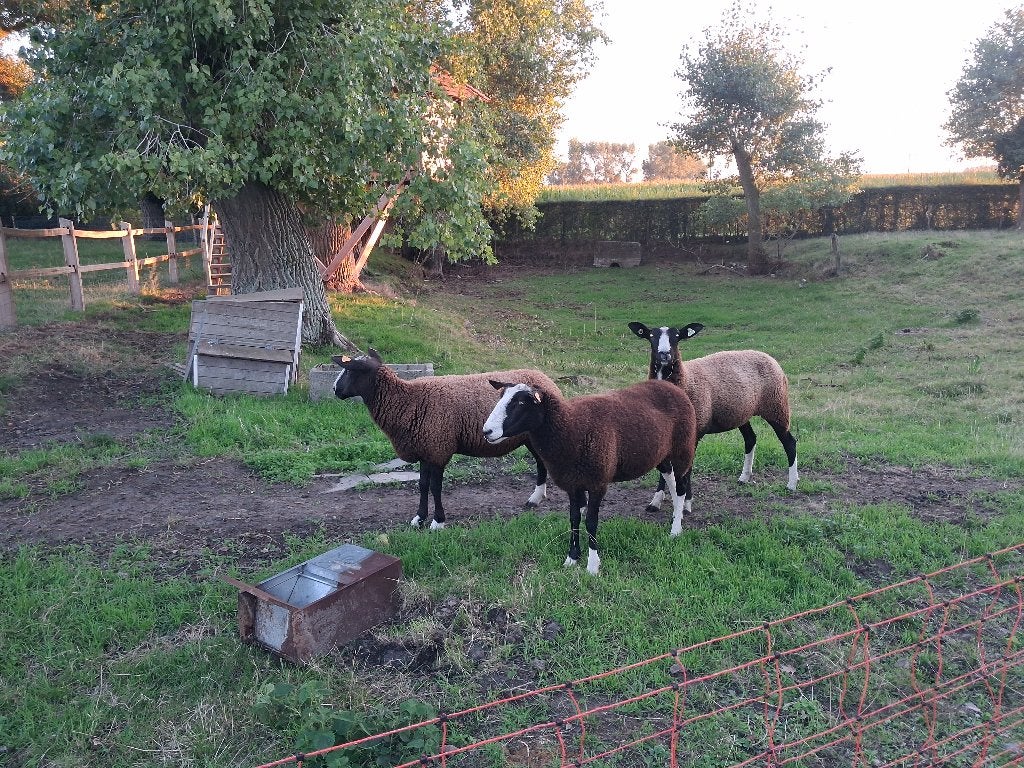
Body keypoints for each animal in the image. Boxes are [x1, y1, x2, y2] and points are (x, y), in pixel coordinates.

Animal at [330, 349, 559, 530]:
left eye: (350, 370)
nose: (334, 389)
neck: (406, 400)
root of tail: (544, 377)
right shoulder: (425, 448)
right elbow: (422, 485)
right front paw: (419, 518)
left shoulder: (438, 449)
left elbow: (435, 487)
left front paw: (437, 522)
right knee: (541, 463)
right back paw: (536, 498)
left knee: (542, 463)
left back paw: (535, 498)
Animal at [483, 377, 697, 575]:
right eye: (500, 397)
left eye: (521, 403)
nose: (486, 431)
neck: (570, 428)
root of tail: (671, 386)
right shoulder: (572, 483)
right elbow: (574, 518)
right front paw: (572, 557)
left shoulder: (597, 483)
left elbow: (591, 522)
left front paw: (592, 565)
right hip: (661, 453)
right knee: (670, 479)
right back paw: (671, 514)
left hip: (682, 449)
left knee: (680, 488)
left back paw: (676, 529)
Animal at [627, 322, 798, 515]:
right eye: (651, 336)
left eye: (677, 336)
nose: (665, 354)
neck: (685, 379)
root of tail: (767, 355)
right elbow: (666, 470)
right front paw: (656, 500)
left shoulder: (693, 432)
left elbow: (686, 470)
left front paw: (686, 503)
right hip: (741, 412)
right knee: (750, 439)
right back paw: (744, 477)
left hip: (777, 406)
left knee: (789, 443)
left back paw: (792, 484)